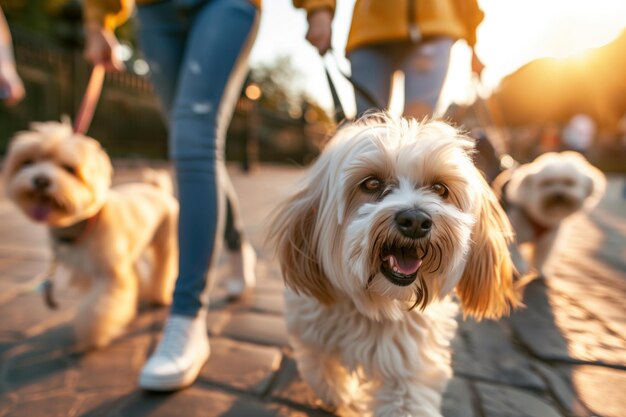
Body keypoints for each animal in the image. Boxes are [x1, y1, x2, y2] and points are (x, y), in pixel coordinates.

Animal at [2, 122, 178, 350]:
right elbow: (93, 300)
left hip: (165, 242)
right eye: (28, 162)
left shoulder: (111, 275)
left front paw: (91, 336)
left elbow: (98, 308)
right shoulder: (87, 271)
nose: (40, 180)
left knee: (164, 268)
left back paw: (160, 296)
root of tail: (156, 188)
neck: (84, 225)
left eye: (68, 168)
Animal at [268, 114, 516, 416]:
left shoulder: (411, 365)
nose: (416, 221)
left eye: (439, 188)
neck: (376, 303)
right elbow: (322, 368)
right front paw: (340, 395)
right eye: (371, 184)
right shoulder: (311, 329)